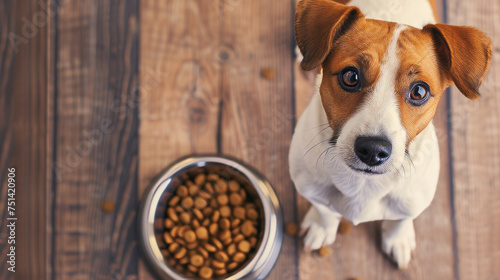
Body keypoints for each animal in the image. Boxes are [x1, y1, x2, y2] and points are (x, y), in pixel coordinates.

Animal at [290, 0, 492, 268]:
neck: (364, 185)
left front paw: (399, 237)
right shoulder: (309, 186)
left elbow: (402, 218)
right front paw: (322, 226)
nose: (373, 150)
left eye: (419, 91)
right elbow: (325, 211)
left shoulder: (413, 200)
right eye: (350, 76)